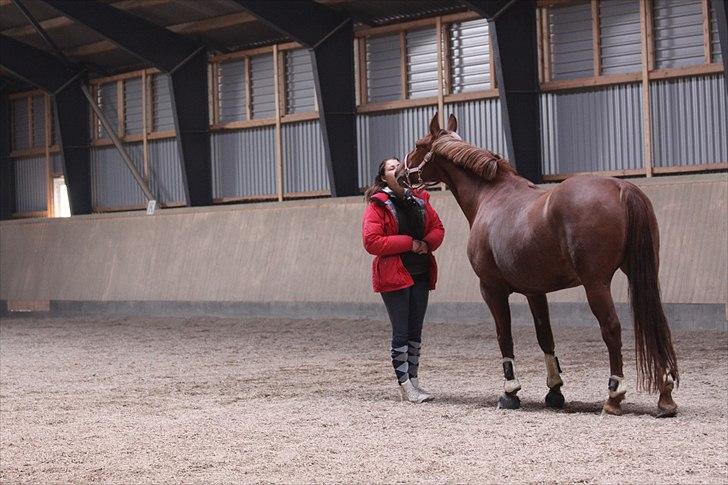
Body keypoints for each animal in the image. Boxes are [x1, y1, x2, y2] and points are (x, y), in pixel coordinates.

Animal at [406, 113, 680, 416]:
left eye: (418, 144)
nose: (401, 174)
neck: (490, 196)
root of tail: (622, 187)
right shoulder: (535, 291)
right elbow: (545, 336)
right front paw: (554, 390)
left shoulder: (491, 289)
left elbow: (504, 336)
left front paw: (510, 392)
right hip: (642, 275)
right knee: (657, 324)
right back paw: (665, 394)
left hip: (596, 284)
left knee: (611, 328)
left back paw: (614, 396)